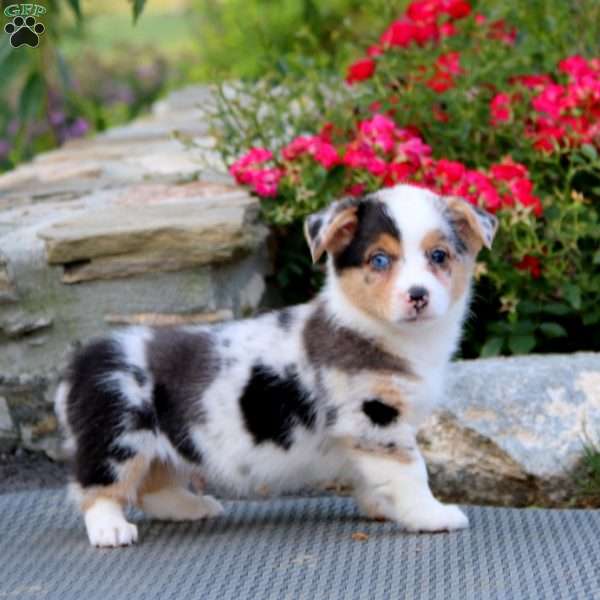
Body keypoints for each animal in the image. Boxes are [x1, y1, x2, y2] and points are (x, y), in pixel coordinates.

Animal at [55, 185, 496, 548]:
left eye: (439, 256)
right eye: (380, 259)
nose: (417, 296)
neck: (383, 331)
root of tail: (78, 365)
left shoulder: (366, 433)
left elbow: (374, 478)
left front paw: (383, 507)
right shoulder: (376, 419)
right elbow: (411, 473)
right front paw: (432, 515)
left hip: (162, 443)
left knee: (154, 484)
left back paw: (191, 507)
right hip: (117, 438)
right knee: (98, 488)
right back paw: (111, 530)